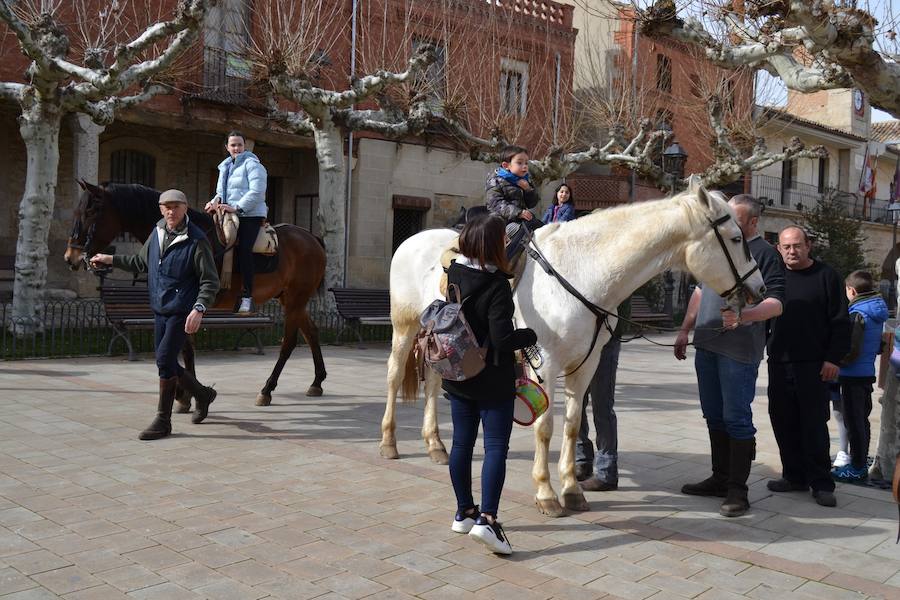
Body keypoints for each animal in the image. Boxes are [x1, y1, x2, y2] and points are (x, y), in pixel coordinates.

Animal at [64, 178, 330, 404]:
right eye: (76, 212)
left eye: (91, 212)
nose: (70, 257)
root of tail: (312, 239)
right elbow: (185, 348)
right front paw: (187, 395)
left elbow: (184, 348)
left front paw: (185, 396)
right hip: (291, 300)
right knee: (312, 333)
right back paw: (316, 382)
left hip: (295, 300)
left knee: (289, 343)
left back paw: (267, 390)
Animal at [380, 184, 768, 516]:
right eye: (736, 239)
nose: (759, 289)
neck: (581, 272)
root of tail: (412, 240)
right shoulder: (544, 365)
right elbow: (545, 427)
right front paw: (546, 493)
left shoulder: (586, 366)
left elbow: (572, 425)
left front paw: (571, 489)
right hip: (404, 328)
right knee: (395, 377)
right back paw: (389, 443)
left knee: (433, 384)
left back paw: (435, 445)